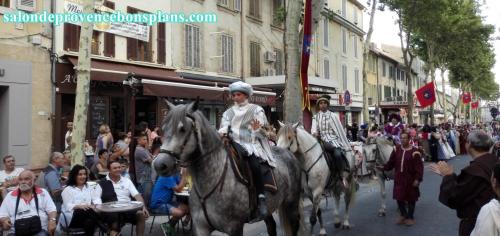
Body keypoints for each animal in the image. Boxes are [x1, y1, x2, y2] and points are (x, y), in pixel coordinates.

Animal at [152, 101, 306, 236]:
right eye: (164, 128)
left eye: (182, 129)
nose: (160, 164)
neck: (211, 180)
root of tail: (289, 154)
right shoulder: (201, 228)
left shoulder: (234, 227)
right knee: (271, 226)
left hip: (291, 205)